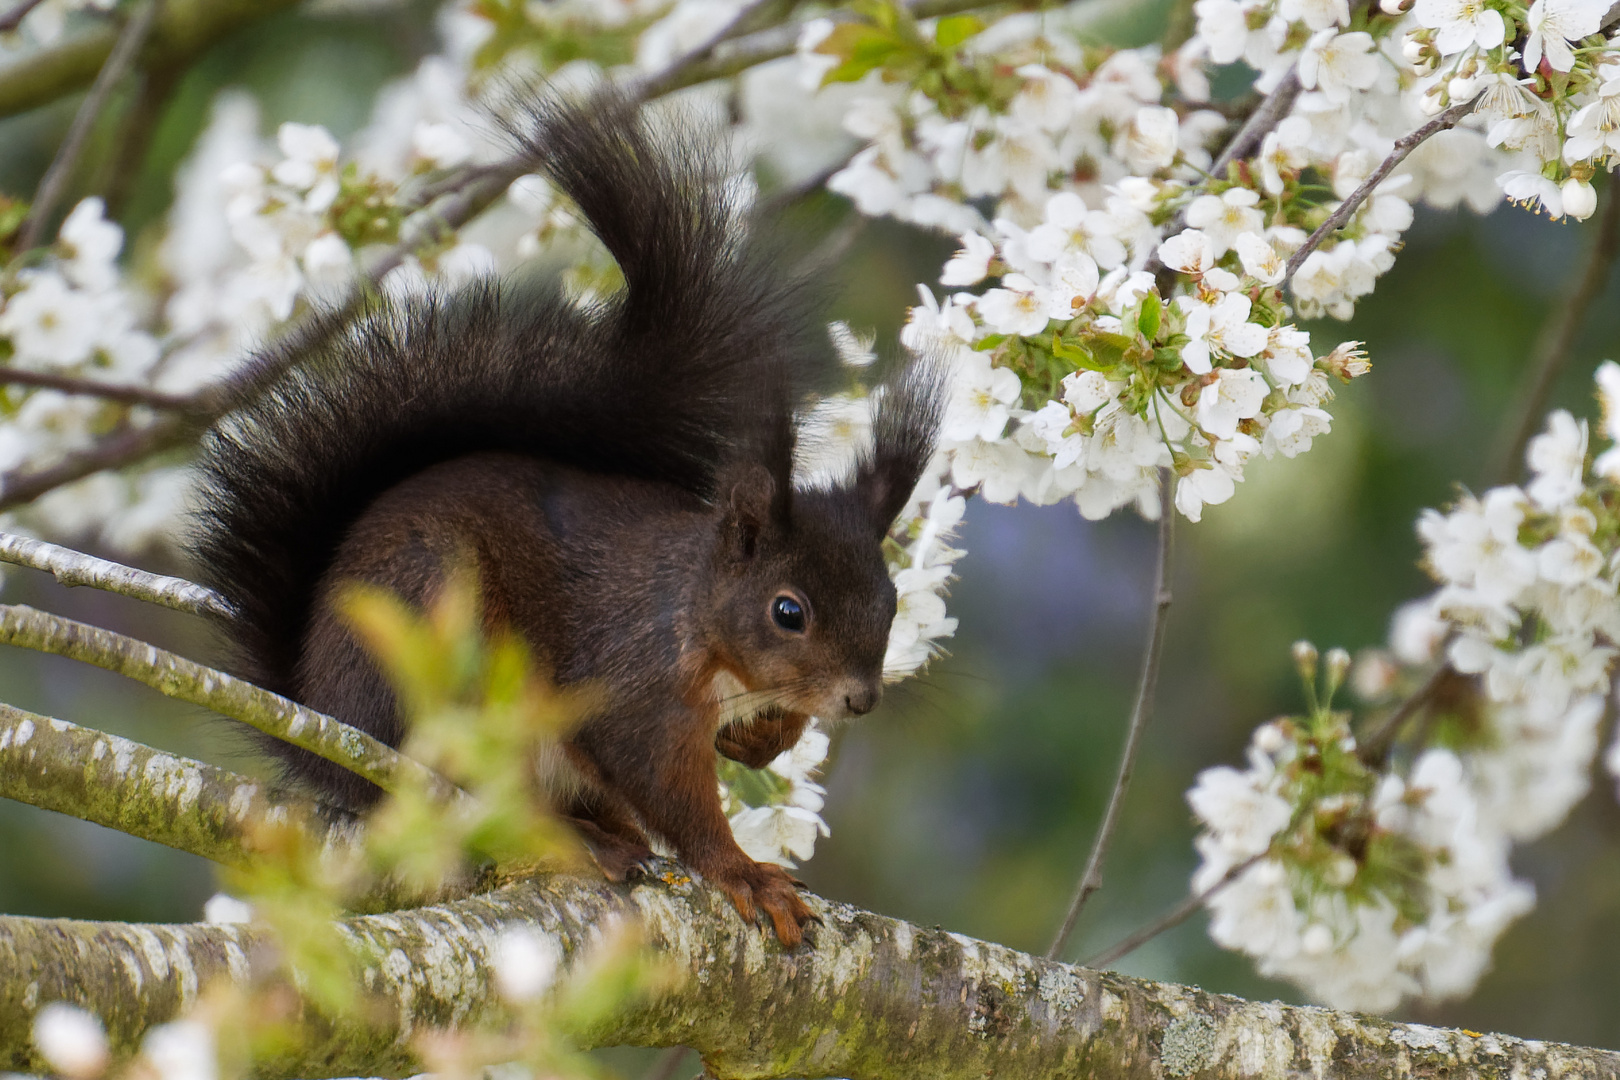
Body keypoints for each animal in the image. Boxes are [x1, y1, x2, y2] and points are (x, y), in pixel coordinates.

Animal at [189, 97, 946, 952]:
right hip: (447, 658)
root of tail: (329, 736)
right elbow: (668, 791)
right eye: (789, 611)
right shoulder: (633, 687)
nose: (860, 699)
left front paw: (762, 740)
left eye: (891, 603)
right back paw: (583, 839)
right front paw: (743, 872)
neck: (693, 615)